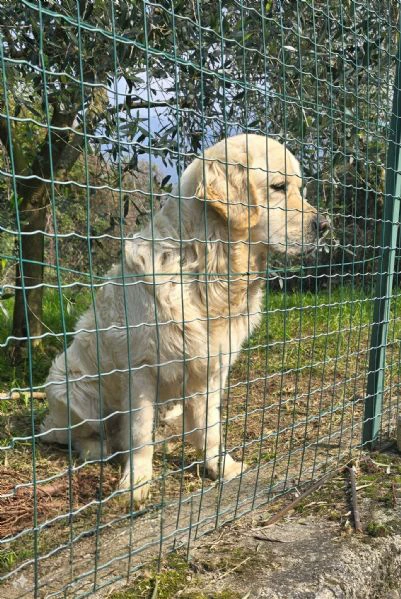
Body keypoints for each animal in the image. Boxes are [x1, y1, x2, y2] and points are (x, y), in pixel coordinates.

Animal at [41, 135, 328, 502]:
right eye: (279, 187)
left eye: (300, 189)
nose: (325, 226)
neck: (207, 266)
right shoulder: (141, 368)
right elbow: (139, 434)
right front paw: (136, 482)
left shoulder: (213, 365)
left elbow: (210, 427)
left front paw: (221, 466)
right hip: (70, 387)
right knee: (73, 435)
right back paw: (96, 448)